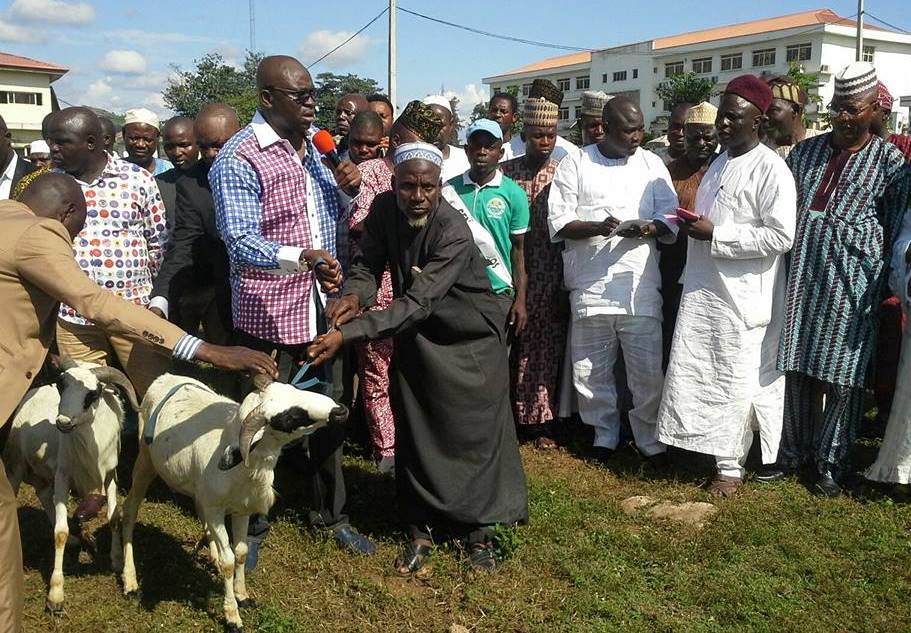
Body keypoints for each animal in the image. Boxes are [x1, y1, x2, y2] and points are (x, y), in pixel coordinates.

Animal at [121, 372, 350, 628]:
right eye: (289, 417)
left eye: (295, 390)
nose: (340, 410)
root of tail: (165, 377)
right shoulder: (216, 510)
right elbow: (229, 561)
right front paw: (232, 615)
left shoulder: (242, 509)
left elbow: (240, 552)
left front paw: (243, 595)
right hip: (145, 461)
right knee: (129, 511)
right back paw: (130, 582)